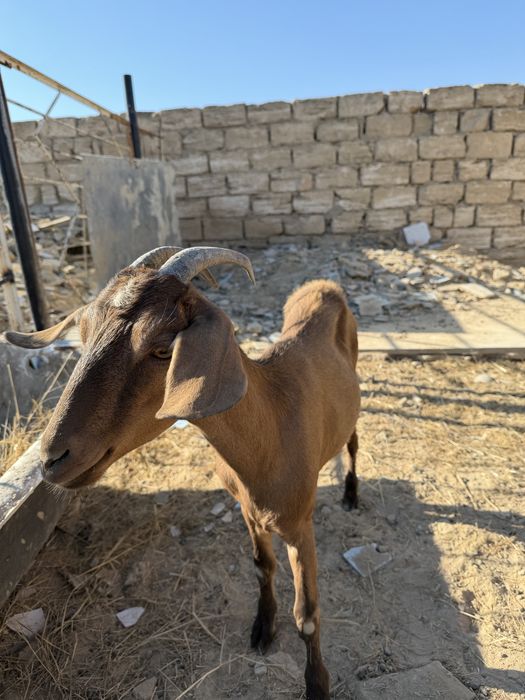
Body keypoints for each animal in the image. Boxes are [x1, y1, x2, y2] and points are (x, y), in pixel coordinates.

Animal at [6, 246, 360, 699]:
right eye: (82, 334)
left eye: (162, 349)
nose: (52, 458)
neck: (270, 432)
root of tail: (325, 285)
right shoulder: (247, 511)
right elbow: (262, 567)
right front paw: (262, 629)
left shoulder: (300, 525)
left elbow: (309, 615)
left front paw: (317, 684)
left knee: (352, 441)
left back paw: (351, 494)